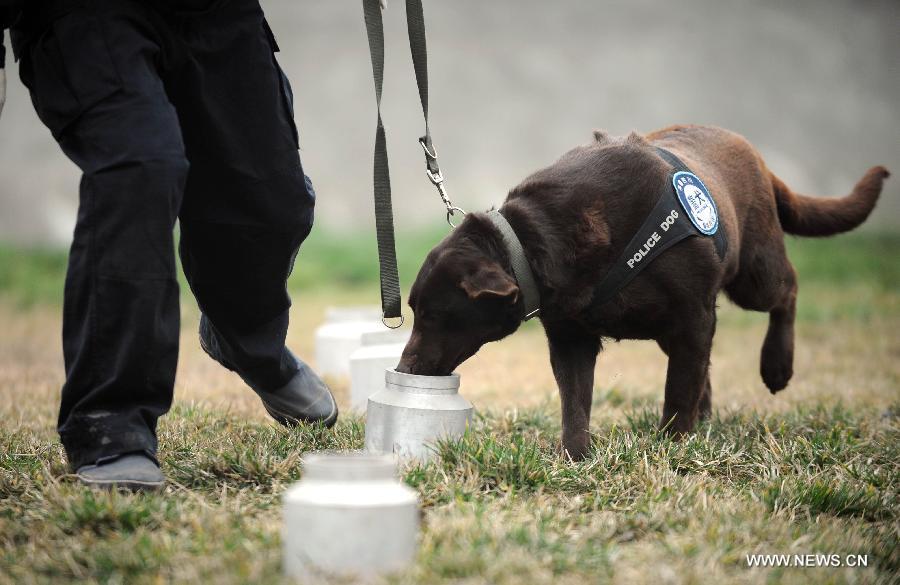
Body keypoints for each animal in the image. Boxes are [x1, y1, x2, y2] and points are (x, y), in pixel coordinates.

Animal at [398, 125, 888, 458]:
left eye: (434, 316)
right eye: (415, 311)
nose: (406, 367)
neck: (534, 238)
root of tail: (755, 155)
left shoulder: (692, 316)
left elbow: (678, 389)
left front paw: (673, 445)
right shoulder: (571, 334)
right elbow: (575, 399)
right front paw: (575, 456)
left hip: (754, 273)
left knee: (786, 290)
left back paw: (777, 366)